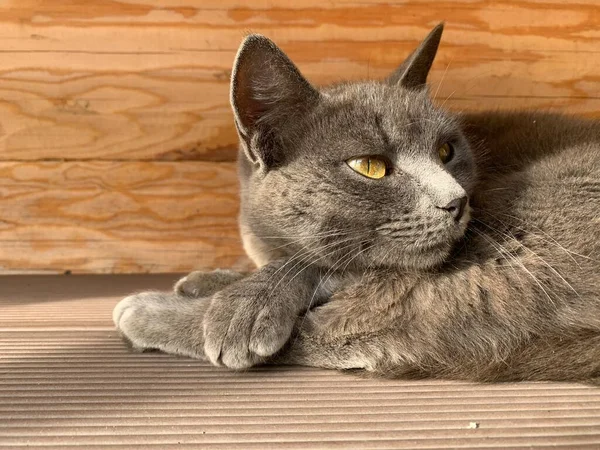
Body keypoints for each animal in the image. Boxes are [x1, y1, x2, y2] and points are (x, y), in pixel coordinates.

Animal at [112, 24, 600, 384]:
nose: (457, 201)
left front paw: (240, 299)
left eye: (446, 151)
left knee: (348, 328)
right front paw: (210, 279)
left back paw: (147, 311)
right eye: (370, 166)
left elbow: (323, 267)